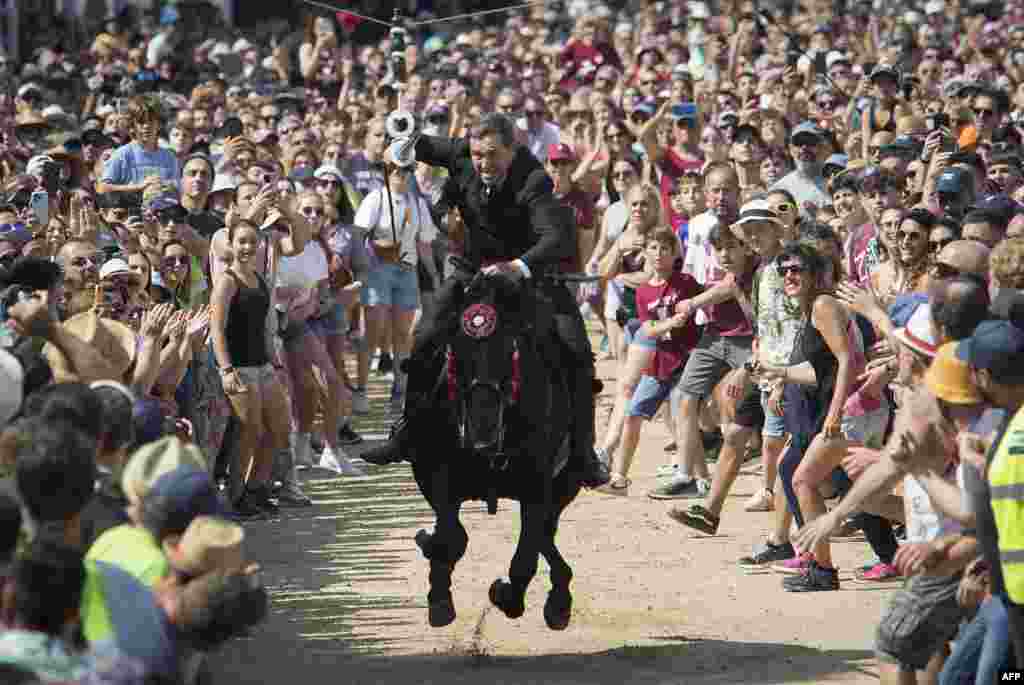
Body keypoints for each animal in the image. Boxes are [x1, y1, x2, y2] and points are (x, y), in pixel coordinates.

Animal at [403, 260, 593, 630]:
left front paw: (507, 595)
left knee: (545, 533)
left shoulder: (538, 483)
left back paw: (558, 599)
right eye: (456, 349)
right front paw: (439, 597)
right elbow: (449, 539)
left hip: (567, 481)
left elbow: (525, 555)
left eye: (510, 349)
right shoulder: (434, 474)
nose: (483, 432)